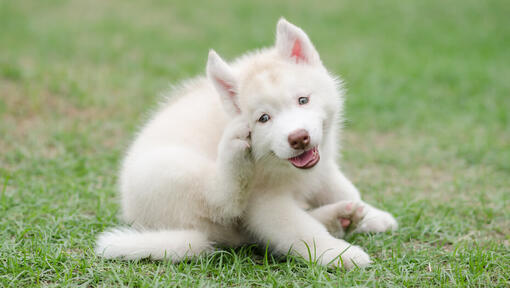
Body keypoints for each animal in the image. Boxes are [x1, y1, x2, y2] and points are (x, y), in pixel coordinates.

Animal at [95, 18, 398, 270]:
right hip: (172, 170)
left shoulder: (322, 166)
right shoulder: (264, 202)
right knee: (223, 201)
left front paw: (372, 215)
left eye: (303, 100)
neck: (281, 167)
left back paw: (339, 218)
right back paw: (234, 155)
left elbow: (343, 188)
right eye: (263, 118)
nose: (298, 137)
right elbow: (300, 230)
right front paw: (339, 254)